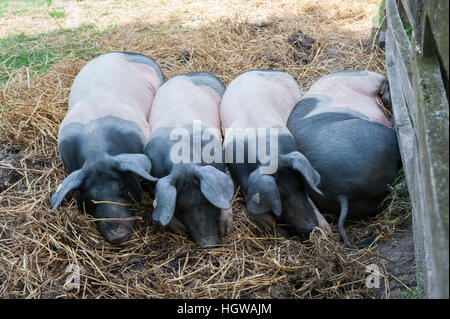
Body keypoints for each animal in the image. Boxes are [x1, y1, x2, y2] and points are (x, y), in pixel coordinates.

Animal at [144, 72, 236, 250]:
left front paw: (226, 229)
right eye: (179, 207)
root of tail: (189, 74)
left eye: (208, 201)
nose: (208, 244)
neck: (184, 161)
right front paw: (180, 229)